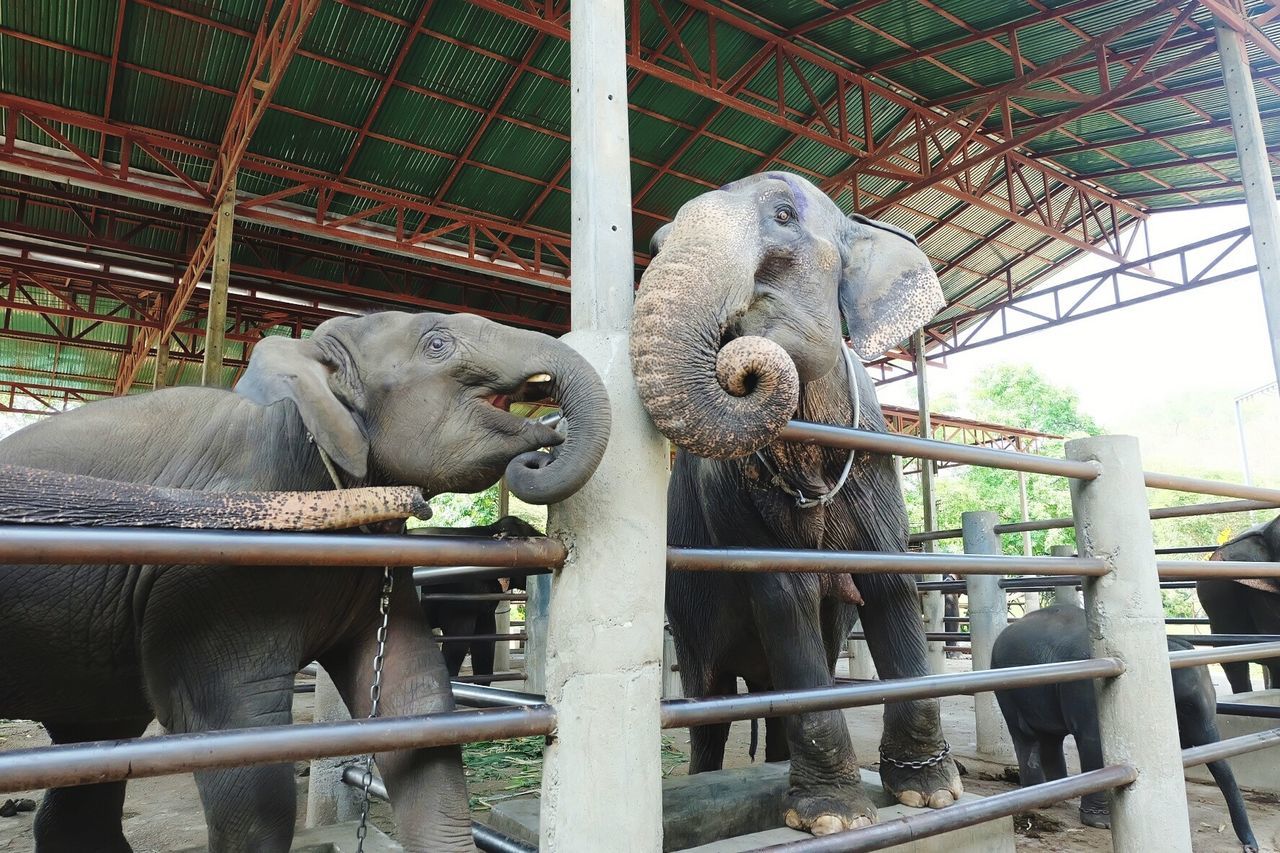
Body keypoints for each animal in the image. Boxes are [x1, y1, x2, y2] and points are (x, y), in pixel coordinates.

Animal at [629, 169, 962, 835]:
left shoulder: (875, 457)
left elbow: (891, 582)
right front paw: (837, 817)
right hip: (687, 611)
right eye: (654, 246)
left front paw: (931, 794)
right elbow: (786, 594)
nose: (737, 355)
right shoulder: (737, 497)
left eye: (784, 215)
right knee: (710, 703)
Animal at [988, 604, 1249, 850]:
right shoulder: (1089, 691)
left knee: (1050, 738)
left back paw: (1056, 796)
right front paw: (1101, 824)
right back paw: (1043, 801)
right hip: (1006, 689)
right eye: (1185, 707)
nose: (1250, 847)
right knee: (1025, 735)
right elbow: (1094, 742)